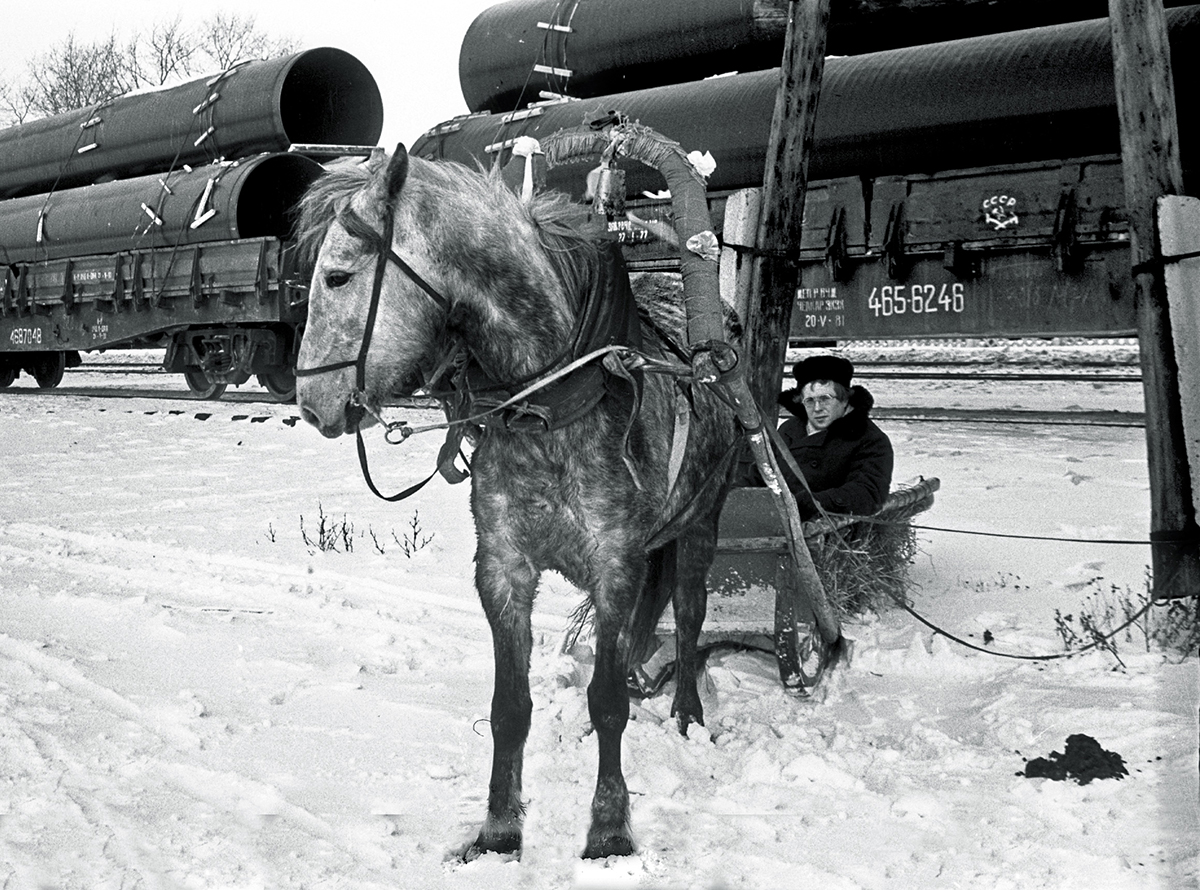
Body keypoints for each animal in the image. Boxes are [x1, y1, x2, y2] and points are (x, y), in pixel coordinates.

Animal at [292, 146, 739, 863]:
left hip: (702, 519)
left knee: (690, 613)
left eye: (336, 276)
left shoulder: (615, 566)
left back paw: (686, 715)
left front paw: (608, 829)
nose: (310, 404)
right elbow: (511, 708)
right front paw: (500, 829)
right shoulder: (503, 568)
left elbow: (607, 701)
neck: (549, 402)